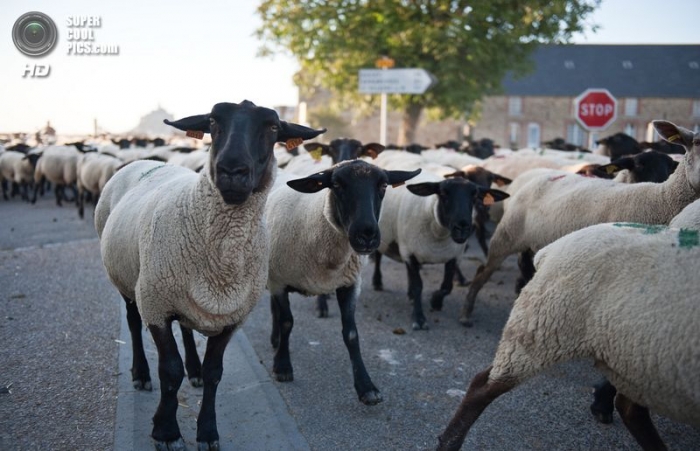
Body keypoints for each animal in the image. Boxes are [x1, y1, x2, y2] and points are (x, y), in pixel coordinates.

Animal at [94, 100, 324, 450]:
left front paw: (207, 431)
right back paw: (141, 374)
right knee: (133, 324)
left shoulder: (232, 315)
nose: (232, 170)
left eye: (273, 127)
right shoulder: (156, 305)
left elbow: (215, 372)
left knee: (187, 330)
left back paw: (194, 372)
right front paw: (166, 432)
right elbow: (170, 371)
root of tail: (147, 161)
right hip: (128, 280)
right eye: (213, 122)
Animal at [264, 160, 418, 406]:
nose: (367, 234)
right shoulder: (279, 281)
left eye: (383, 185)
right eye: (336, 184)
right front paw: (282, 367)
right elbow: (287, 321)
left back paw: (275, 339)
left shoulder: (350, 284)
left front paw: (366, 387)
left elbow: (351, 334)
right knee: (276, 312)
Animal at [372, 170, 508, 328]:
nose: (462, 228)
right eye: (443, 193)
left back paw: (410, 295)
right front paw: (419, 318)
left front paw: (435, 301)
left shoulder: (453, 256)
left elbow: (447, 286)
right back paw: (377, 282)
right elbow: (418, 286)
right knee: (378, 256)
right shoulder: (410, 253)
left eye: (475, 196)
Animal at [438, 223, 700, 451]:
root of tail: (550, 249)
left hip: (640, 359)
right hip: (543, 326)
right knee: (482, 386)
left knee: (630, 408)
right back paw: (449, 442)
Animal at [462, 120, 700, 326]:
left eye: (670, 166)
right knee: (483, 271)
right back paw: (467, 311)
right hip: (507, 235)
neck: (659, 198)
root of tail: (537, 177)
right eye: (639, 164)